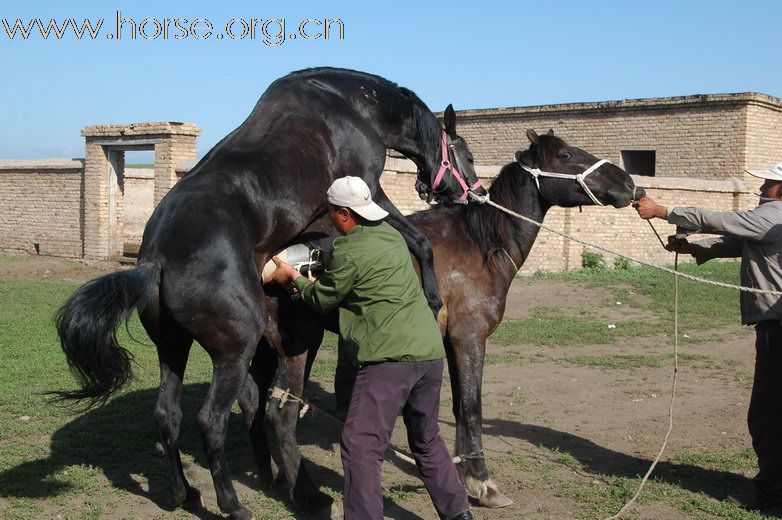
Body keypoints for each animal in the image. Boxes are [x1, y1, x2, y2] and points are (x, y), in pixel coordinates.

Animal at [50, 68, 484, 520]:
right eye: (467, 154)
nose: (474, 191)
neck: (346, 103)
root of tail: (156, 260)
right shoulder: (370, 190)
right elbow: (418, 240)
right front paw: (431, 296)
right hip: (234, 350)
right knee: (212, 420)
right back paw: (233, 504)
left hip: (173, 346)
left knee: (168, 415)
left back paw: (186, 494)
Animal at [253, 129, 644, 512]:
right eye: (565, 155)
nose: (629, 184)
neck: (480, 244)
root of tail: (270, 260)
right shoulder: (469, 339)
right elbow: (471, 407)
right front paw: (483, 483)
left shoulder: (452, 342)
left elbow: (458, 407)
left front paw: (467, 475)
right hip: (298, 346)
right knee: (280, 414)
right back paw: (306, 495)